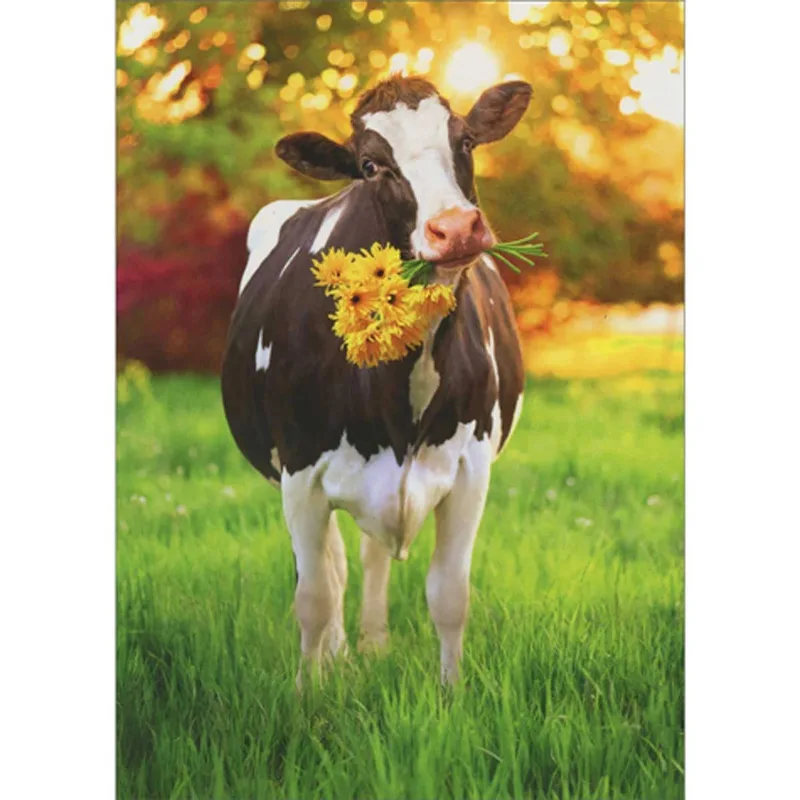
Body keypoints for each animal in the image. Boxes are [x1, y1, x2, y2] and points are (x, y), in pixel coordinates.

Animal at [221, 75, 531, 686]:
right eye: (369, 165)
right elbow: (313, 597)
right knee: (333, 567)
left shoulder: (470, 468)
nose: (455, 228)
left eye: (464, 140)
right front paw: (307, 694)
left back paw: (371, 644)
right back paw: (339, 654)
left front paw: (451, 692)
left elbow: (450, 594)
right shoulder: (300, 473)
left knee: (368, 554)